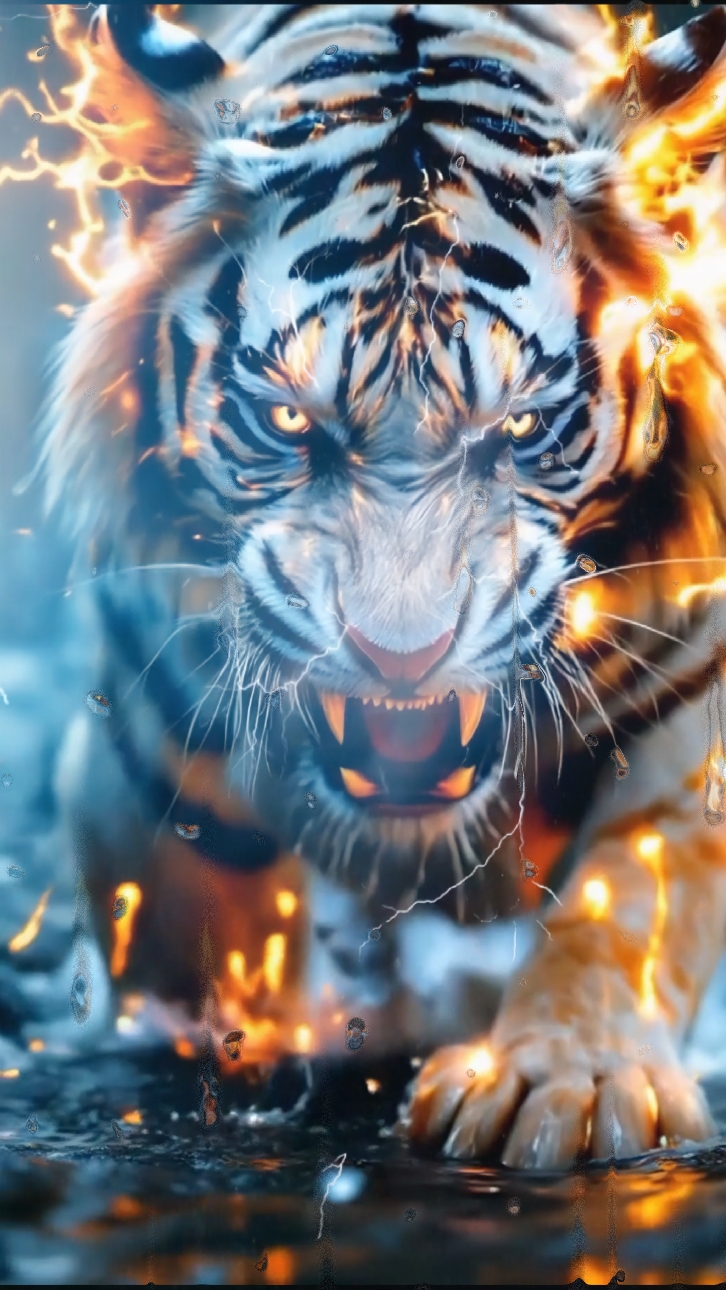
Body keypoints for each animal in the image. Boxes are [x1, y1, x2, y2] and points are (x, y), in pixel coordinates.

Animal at [39, 1, 726, 1170]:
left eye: (521, 429)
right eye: (287, 420)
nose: (400, 661)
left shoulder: (689, 688)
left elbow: (628, 895)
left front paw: (561, 1081)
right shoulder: (147, 733)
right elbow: (196, 900)